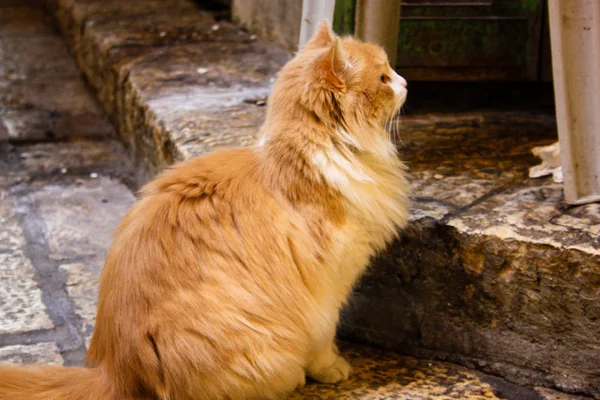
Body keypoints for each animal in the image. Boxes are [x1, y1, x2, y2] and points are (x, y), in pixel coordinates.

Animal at [0, 21, 408, 400]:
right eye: (383, 78)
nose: (405, 82)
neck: (307, 155)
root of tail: (114, 371)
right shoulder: (328, 287)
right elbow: (324, 339)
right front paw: (333, 368)